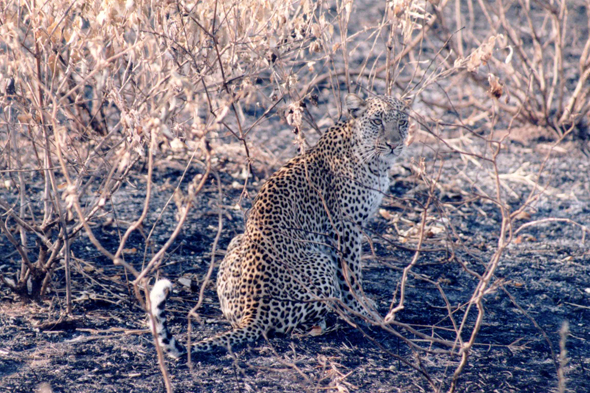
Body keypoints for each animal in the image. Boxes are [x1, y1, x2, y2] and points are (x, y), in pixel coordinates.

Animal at [150, 93, 410, 356]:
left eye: (402, 122)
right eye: (377, 121)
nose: (394, 145)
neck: (373, 160)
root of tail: (255, 310)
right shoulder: (344, 229)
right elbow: (352, 277)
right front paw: (363, 310)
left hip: (237, 242)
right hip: (322, 263)